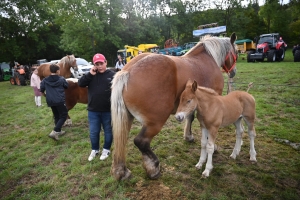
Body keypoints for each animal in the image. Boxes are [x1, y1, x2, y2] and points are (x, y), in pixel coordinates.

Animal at [110, 32, 239, 180]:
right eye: (236, 52)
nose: (233, 72)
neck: (208, 59)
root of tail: (127, 72)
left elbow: (190, 118)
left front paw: (188, 136)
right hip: (156, 122)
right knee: (141, 142)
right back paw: (153, 168)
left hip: (126, 118)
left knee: (121, 141)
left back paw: (121, 171)